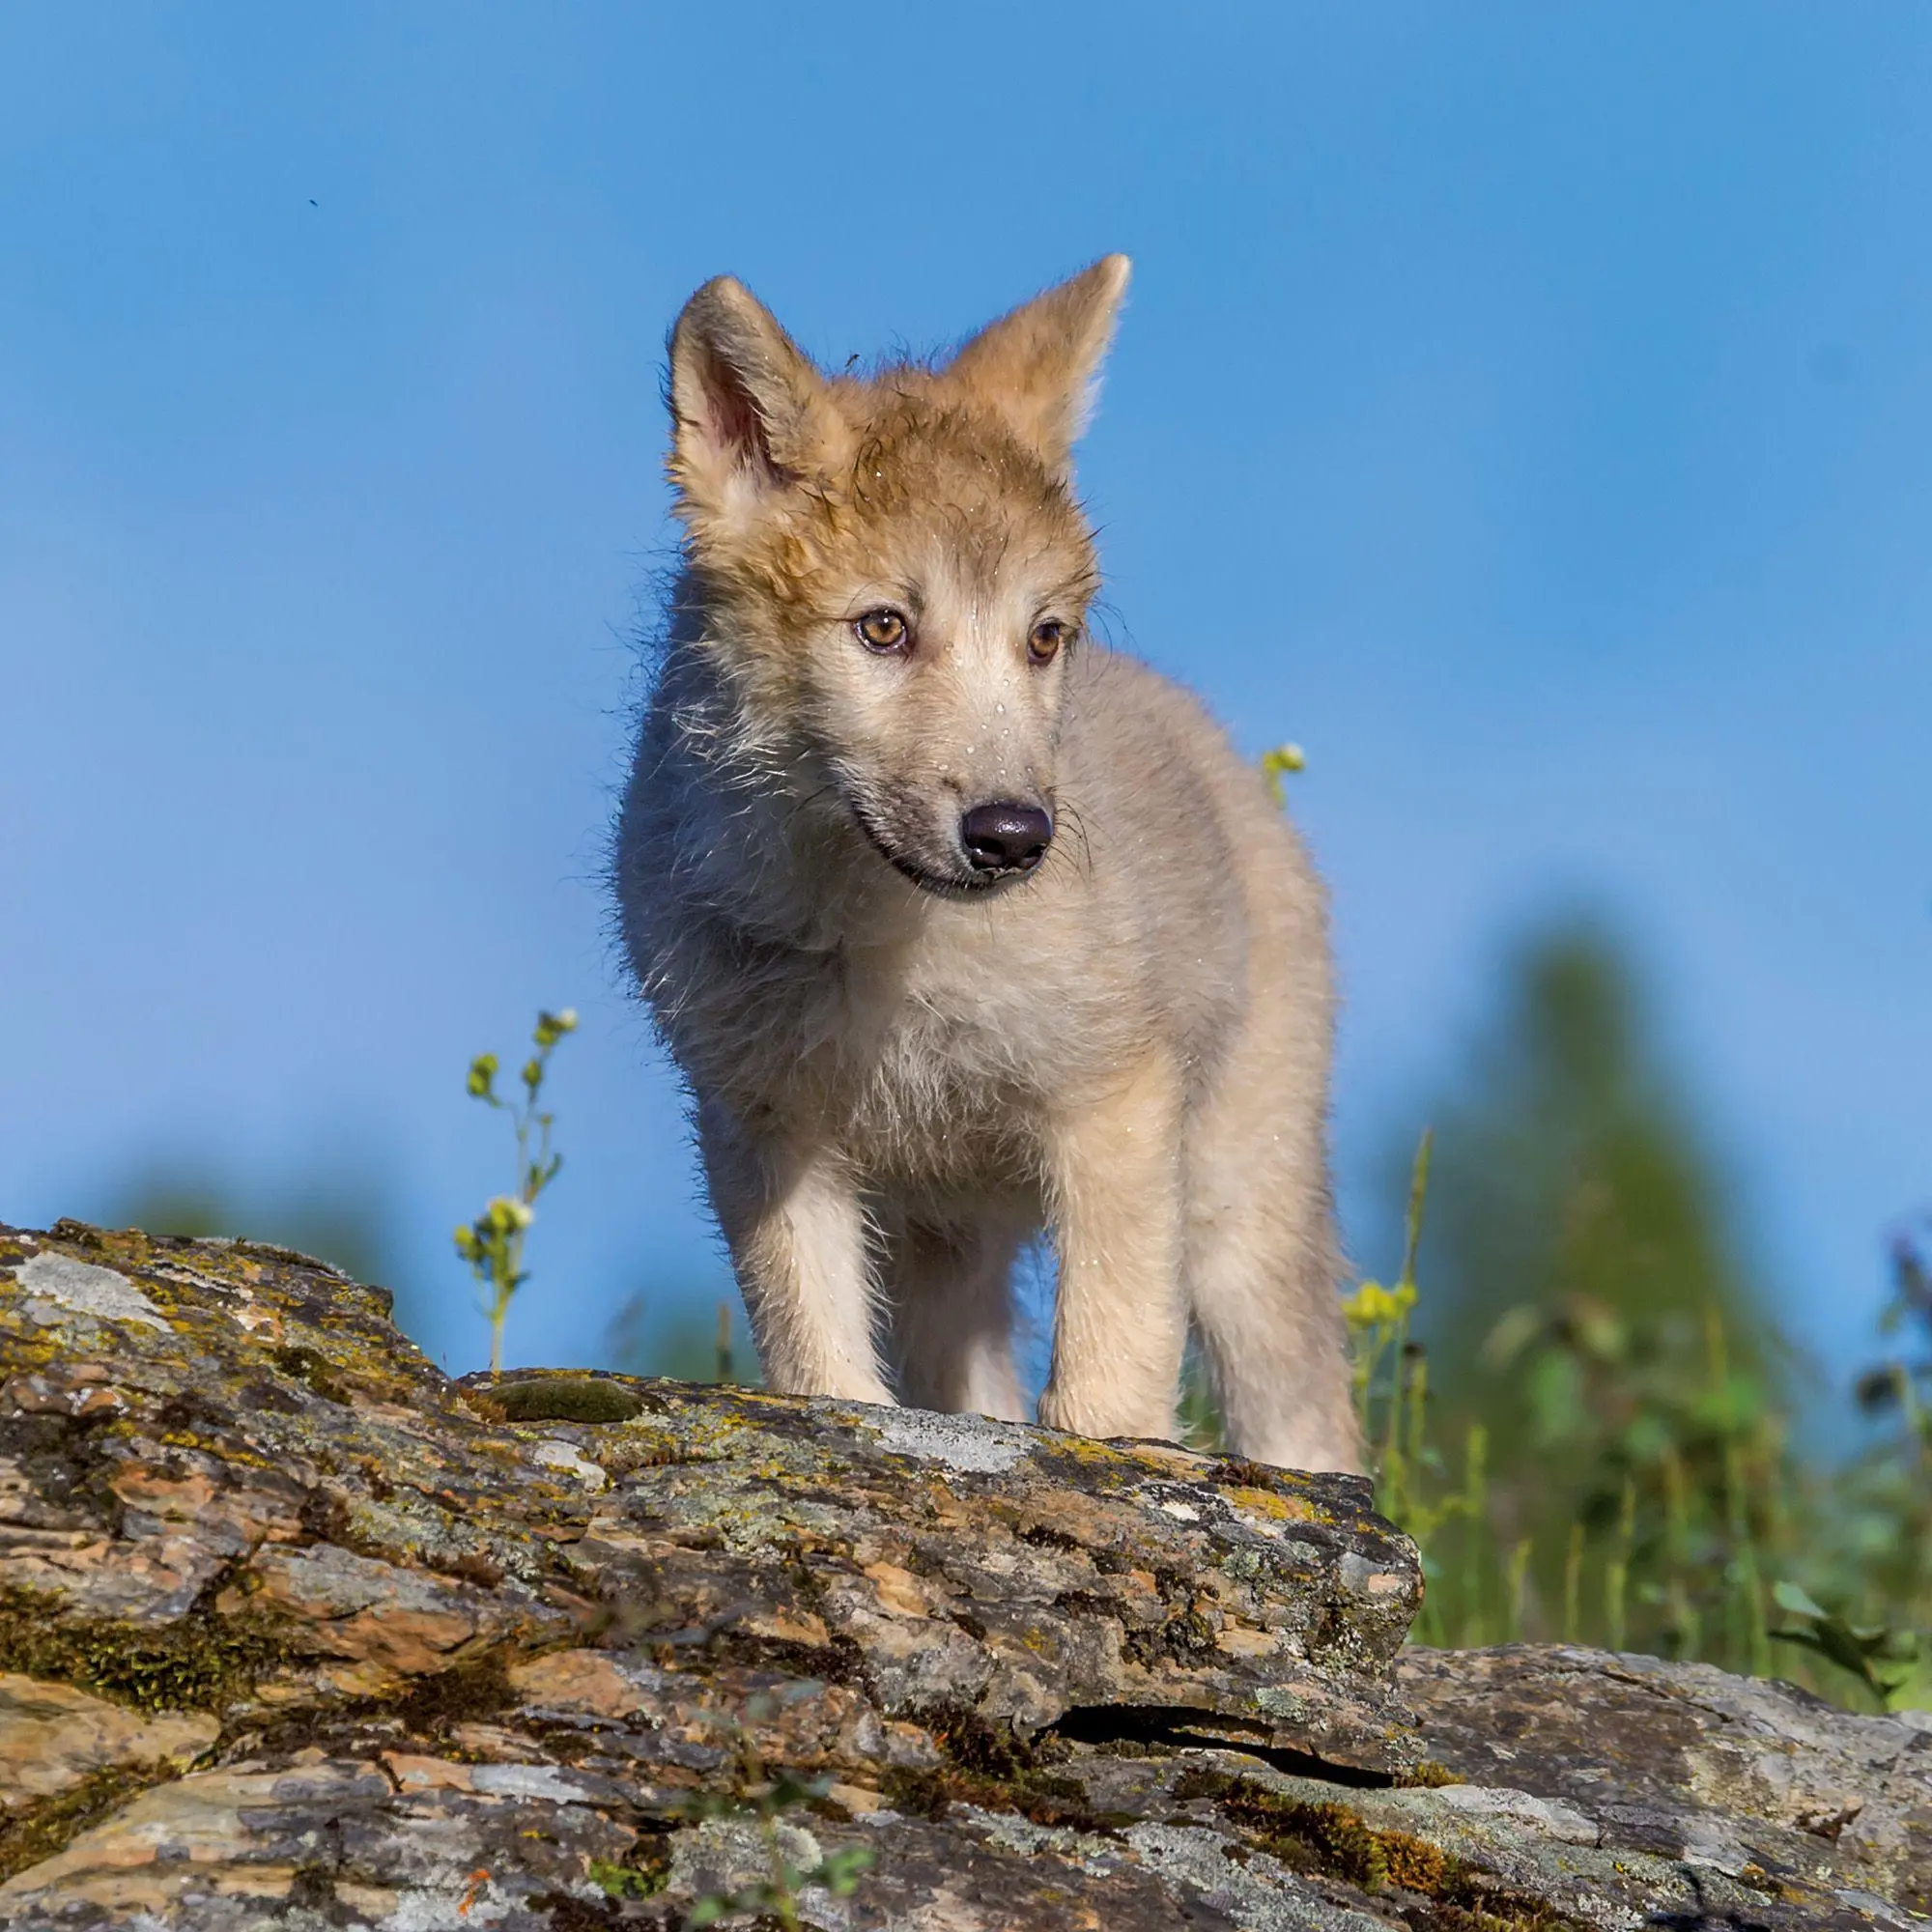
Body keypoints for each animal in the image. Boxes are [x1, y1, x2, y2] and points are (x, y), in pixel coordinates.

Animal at [614, 256, 1362, 1472]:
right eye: (881, 628)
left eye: (1042, 637)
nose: (1013, 835)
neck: (871, 939)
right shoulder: (765, 1131)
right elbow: (822, 1365)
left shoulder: (1111, 1105)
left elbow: (1108, 1382)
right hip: (946, 1247)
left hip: (1238, 1219)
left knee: (1311, 1430)